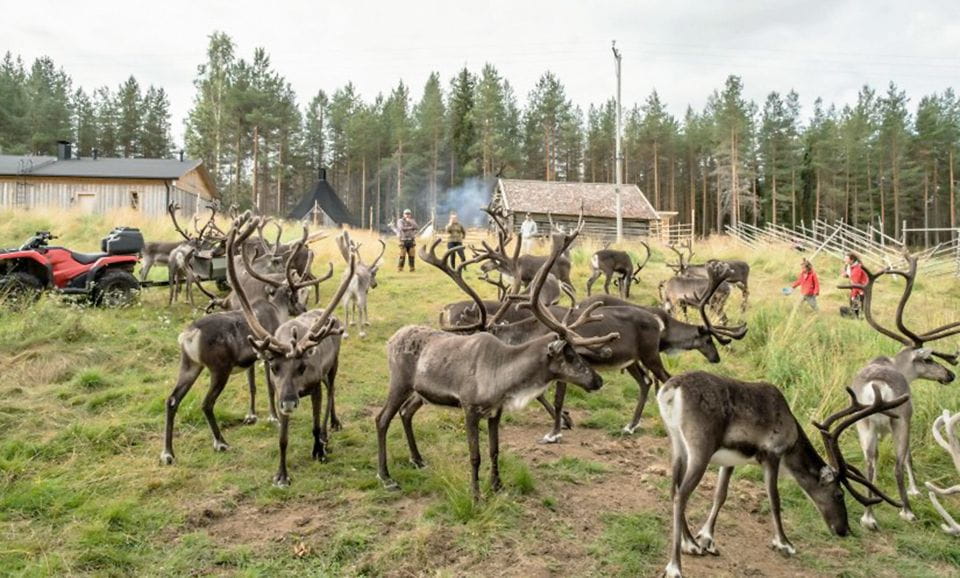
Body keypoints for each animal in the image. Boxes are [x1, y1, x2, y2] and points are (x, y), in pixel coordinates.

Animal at [159, 213, 329, 466]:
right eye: (293, 294)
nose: (303, 308)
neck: (275, 310)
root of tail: (189, 335)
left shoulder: (252, 358)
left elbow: (252, 385)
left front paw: (253, 415)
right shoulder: (268, 356)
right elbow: (269, 387)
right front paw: (273, 417)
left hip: (190, 365)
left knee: (172, 400)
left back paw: (168, 453)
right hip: (219, 369)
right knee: (206, 403)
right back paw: (220, 442)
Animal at [227, 221, 355, 487]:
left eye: (302, 367)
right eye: (275, 368)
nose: (289, 401)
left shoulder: (314, 386)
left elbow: (315, 425)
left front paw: (319, 450)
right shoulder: (279, 390)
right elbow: (282, 439)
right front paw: (282, 475)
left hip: (333, 367)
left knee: (332, 393)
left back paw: (331, 427)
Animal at [375, 220, 619, 500]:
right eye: (568, 354)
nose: (598, 380)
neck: (502, 373)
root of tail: (392, 338)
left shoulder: (495, 412)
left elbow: (494, 450)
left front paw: (497, 486)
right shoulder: (470, 408)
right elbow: (475, 455)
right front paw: (476, 496)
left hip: (420, 391)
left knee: (405, 413)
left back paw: (417, 459)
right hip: (399, 383)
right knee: (382, 419)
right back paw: (386, 476)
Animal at [659, 372, 908, 578]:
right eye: (839, 494)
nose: (844, 530)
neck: (792, 435)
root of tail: (672, 389)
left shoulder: (730, 460)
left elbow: (720, 495)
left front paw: (707, 539)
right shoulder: (772, 455)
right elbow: (775, 501)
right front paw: (784, 543)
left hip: (677, 445)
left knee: (673, 490)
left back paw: (690, 544)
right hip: (700, 448)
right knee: (681, 495)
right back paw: (675, 566)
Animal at [837, 254, 958, 530]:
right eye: (929, 360)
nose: (950, 375)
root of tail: (877, 386)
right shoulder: (907, 415)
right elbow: (909, 457)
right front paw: (915, 491)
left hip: (864, 424)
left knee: (870, 462)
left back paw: (869, 517)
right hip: (899, 418)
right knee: (899, 464)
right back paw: (907, 511)